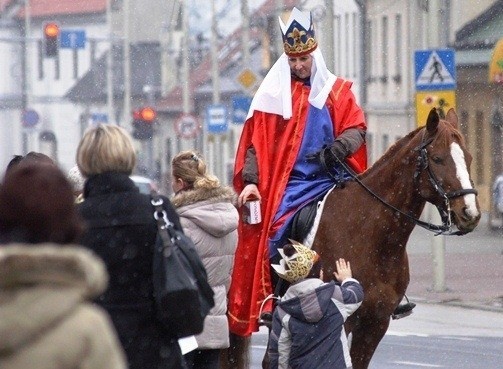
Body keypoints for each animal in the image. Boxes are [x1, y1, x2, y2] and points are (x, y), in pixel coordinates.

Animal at [222, 107, 482, 368]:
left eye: (469, 158)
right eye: (438, 159)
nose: (470, 213)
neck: (372, 235)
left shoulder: (375, 323)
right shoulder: (341, 316)